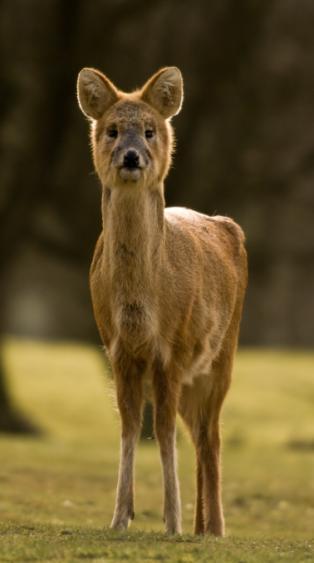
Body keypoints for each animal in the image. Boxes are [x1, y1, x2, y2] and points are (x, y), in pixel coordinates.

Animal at [76, 67, 248, 536]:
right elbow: (130, 427)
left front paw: (171, 521)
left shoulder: (172, 346)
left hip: (222, 354)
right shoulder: (116, 347)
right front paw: (120, 517)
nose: (132, 156)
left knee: (211, 436)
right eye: (113, 130)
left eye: (150, 130)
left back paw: (215, 528)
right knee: (199, 434)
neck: (141, 305)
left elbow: (164, 431)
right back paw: (202, 526)